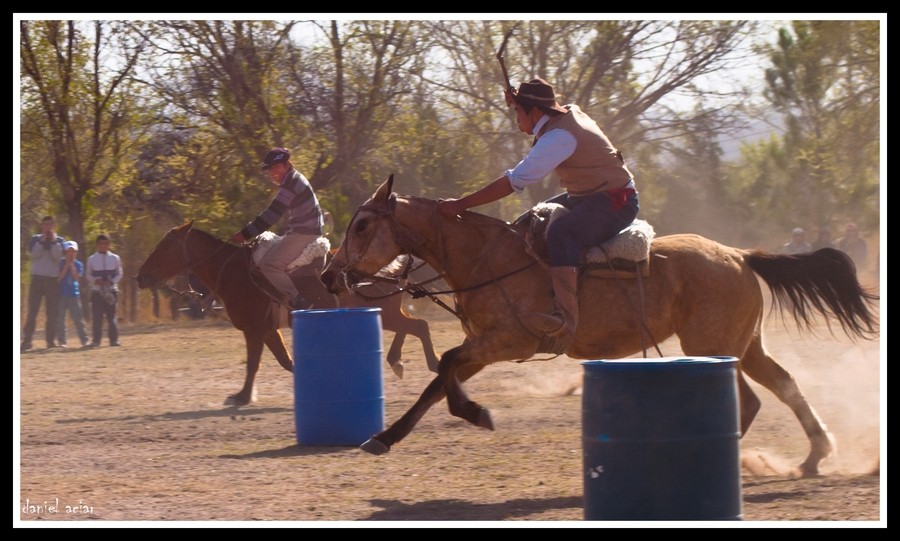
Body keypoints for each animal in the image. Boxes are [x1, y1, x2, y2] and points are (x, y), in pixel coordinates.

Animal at [134, 219, 440, 404]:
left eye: (165, 248)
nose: (140, 276)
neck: (235, 273)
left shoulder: (255, 330)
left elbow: (254, 363)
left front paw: (242, 397)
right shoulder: (268, 330)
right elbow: (286, 361)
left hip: (387, 314)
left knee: (419, 326)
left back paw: (430, 363)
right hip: (388, 312)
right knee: (411, 326)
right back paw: (396, 360)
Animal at [320, 175, 876, 474]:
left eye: (363, 225)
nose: (329, 275)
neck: (486, 257)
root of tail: (739, 255)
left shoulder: (509, 341)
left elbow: (447, 371)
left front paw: (477, 412)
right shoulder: (485, 344)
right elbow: (438, 382)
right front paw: (385, 436)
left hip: (717, 344)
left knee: (754, 398)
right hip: (746, 344)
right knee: (783, 384)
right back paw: (813, 456)